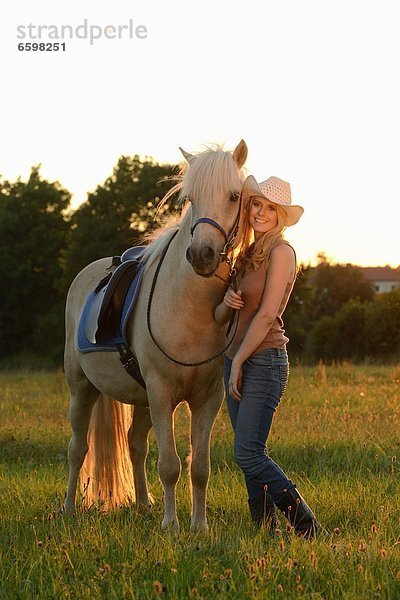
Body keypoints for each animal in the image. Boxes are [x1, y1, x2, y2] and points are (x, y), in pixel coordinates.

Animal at [63, 139, 247, 528]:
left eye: (234, 195)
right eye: (190, 197)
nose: (203, 254)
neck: (189, 308)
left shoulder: (207, 399)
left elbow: (199, 467)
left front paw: (198, 526)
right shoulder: (162, 394)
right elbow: (169, 466)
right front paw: (171, 526)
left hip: (141, 397)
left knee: (135, 444)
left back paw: (144, 504)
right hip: (82, 389)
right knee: (77, 449)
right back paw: (69, 507)